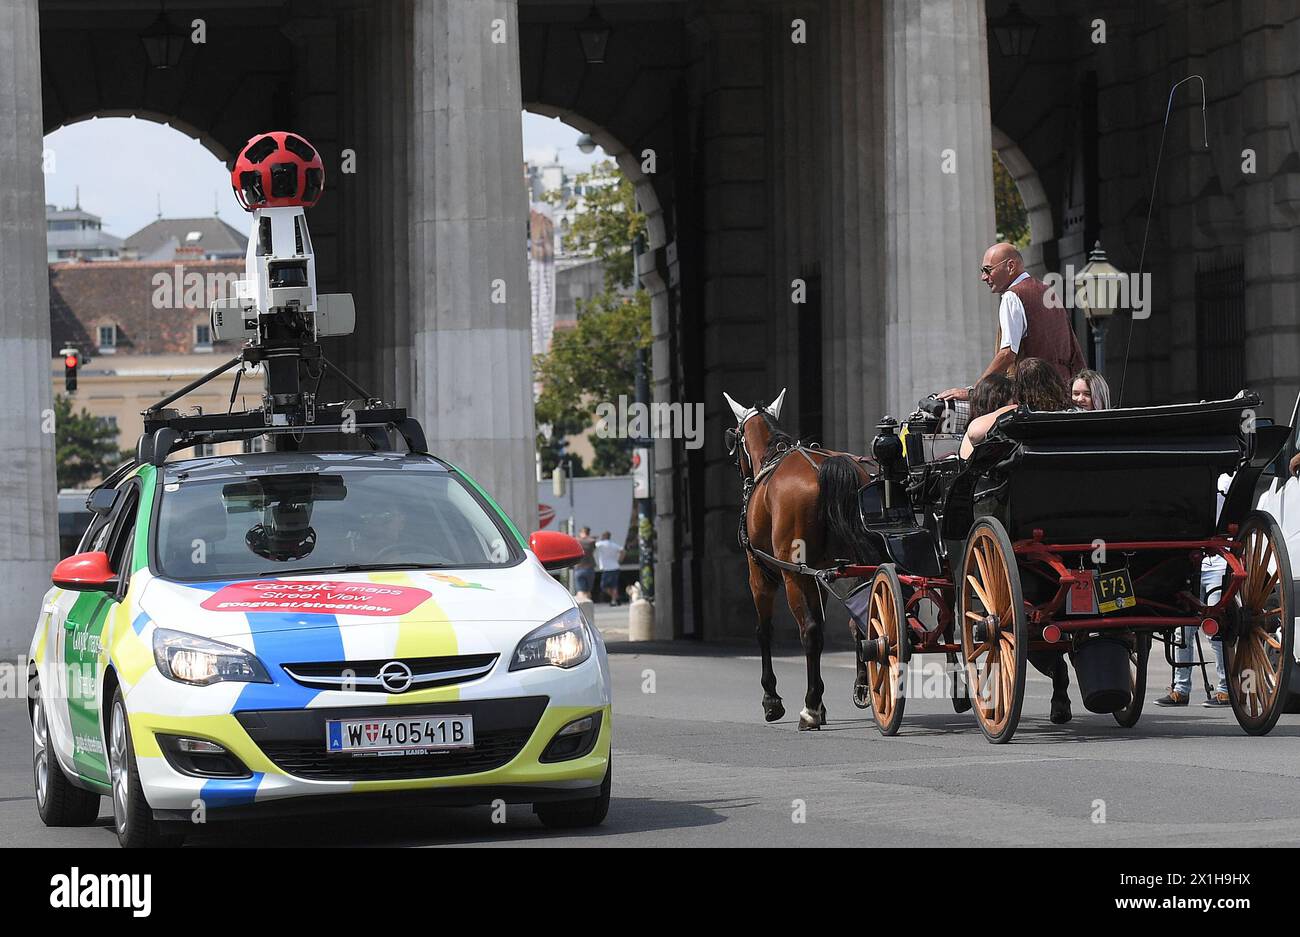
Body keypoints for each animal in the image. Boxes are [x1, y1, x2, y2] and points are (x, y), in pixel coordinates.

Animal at [722, 389, 883, 727]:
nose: (741, 473)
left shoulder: (760, 574)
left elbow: (764, 631)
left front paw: (772, 699)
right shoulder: (821, 575)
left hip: (793, 574)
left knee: (809, 631)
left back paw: (810, 708)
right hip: (854, 565)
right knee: (863, 621)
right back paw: (862, 685)